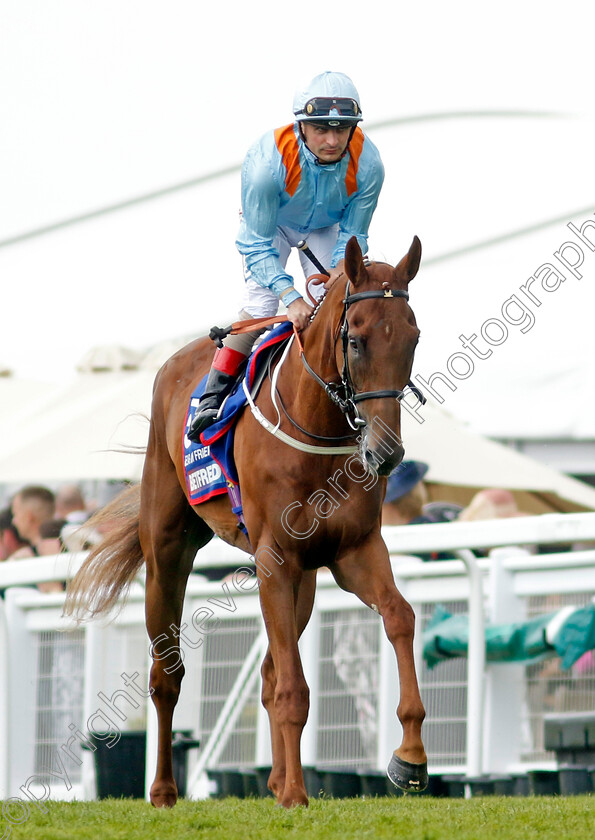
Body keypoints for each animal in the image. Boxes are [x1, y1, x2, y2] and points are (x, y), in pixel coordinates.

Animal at [65, 235, 428, 808]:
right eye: (357, 340)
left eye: (413, 337)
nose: (386, 453)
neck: (317, 429)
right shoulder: (274, 557)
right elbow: (293, 687)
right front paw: (298, 794)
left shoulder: (353, 550)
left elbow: (399, 616)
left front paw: (409, 757)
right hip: (167, 553)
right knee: (167, 675)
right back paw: (164, 790)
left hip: (302, 578)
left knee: (268, 671)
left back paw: (275, 780)